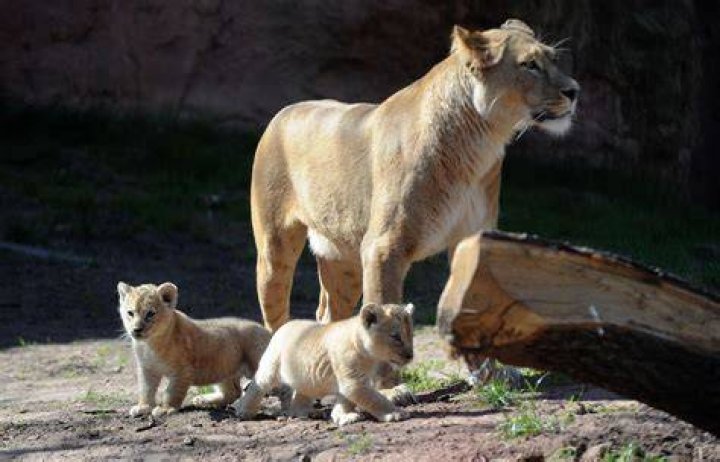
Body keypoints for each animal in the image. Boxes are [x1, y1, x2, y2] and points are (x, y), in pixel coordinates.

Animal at [117, 281, 271, 418]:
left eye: (150, 314)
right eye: (130, 313)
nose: (136, 330)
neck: (149, 345)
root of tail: (266, 331)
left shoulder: (182, 371)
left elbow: (171, 392)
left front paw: (166, 409)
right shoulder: (147, 369)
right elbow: (146, 389)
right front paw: (143, 407)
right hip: (223, 368)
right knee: (233, 392)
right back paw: (203, 400)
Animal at [232, 303, 415, 426]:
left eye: (410, 335)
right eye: (396, 337)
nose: (410, 356)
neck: (368, 355)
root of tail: (285, 325)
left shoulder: (352, 381)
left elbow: (346, 400)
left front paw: (343, 417)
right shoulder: (354, 382)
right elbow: (375, 398)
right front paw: (396, 413)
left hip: (305, 379)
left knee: (300, 399)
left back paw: (311, 413)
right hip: (271, 366)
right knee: (258, 385)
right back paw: (244, 411)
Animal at [250, 19, 579, 335]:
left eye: (553, 59)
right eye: (530, 65)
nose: (574, 91)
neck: (479, 145)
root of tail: (285, 110)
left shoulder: (474, 239)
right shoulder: (383, 248)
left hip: (343, 261)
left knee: (328, 317)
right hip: (275, 250)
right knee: (275, 318)